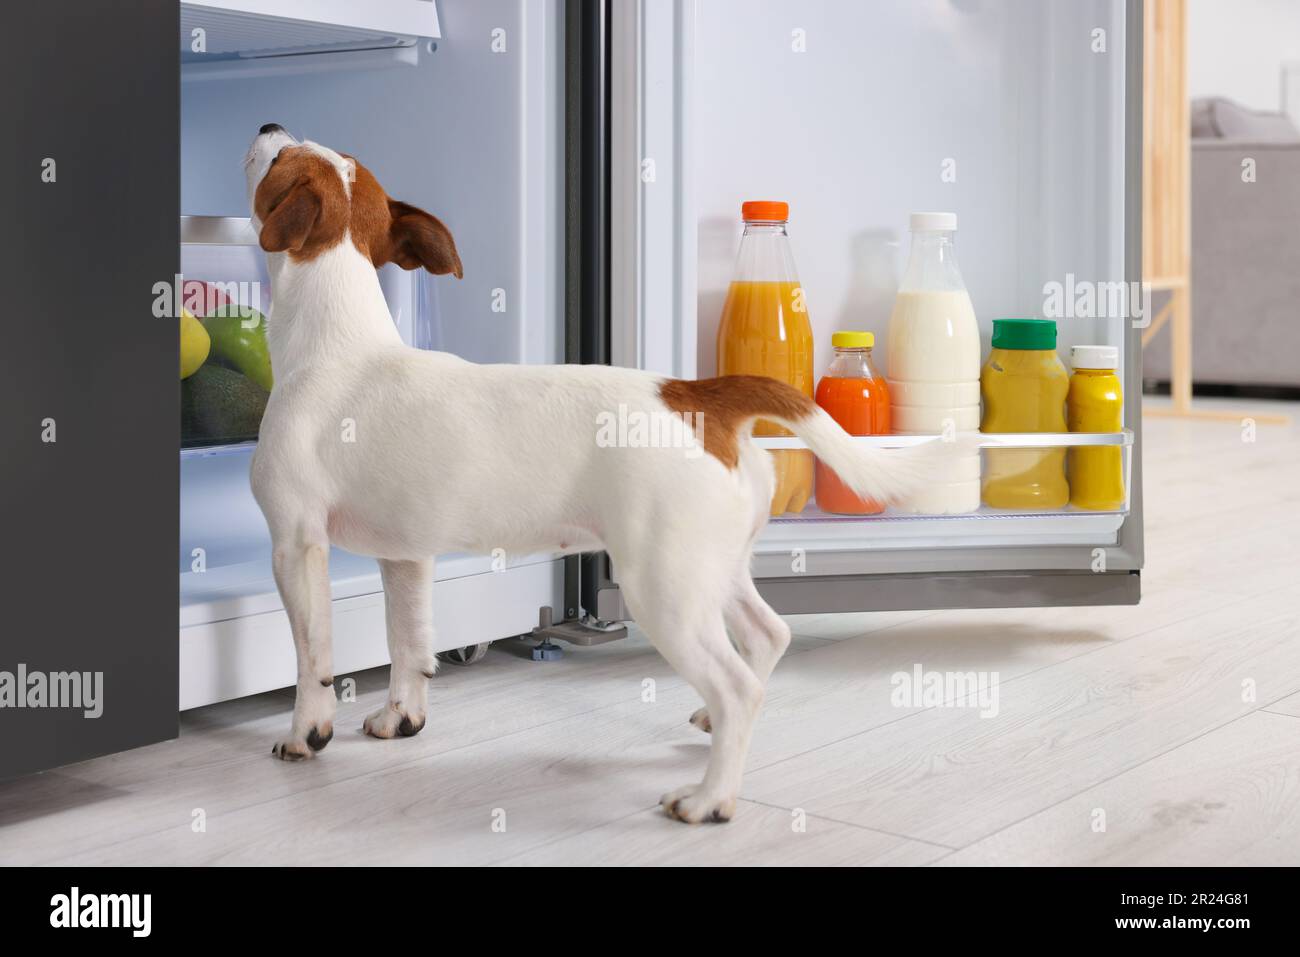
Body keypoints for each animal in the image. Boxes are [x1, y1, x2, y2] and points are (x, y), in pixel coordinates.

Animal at [244, 121, 961, 821]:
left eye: (278, 156)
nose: (267, 121)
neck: (338, 339)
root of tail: (700, 395)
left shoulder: (296, 545)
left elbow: (312, 654)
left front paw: (306, 732)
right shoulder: (407, 557)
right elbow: (409, 642)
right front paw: (402, 716)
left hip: (663, 590)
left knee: (737, 687)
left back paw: (709, 797)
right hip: (710, 569)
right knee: (766, 636)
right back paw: (713, 729)